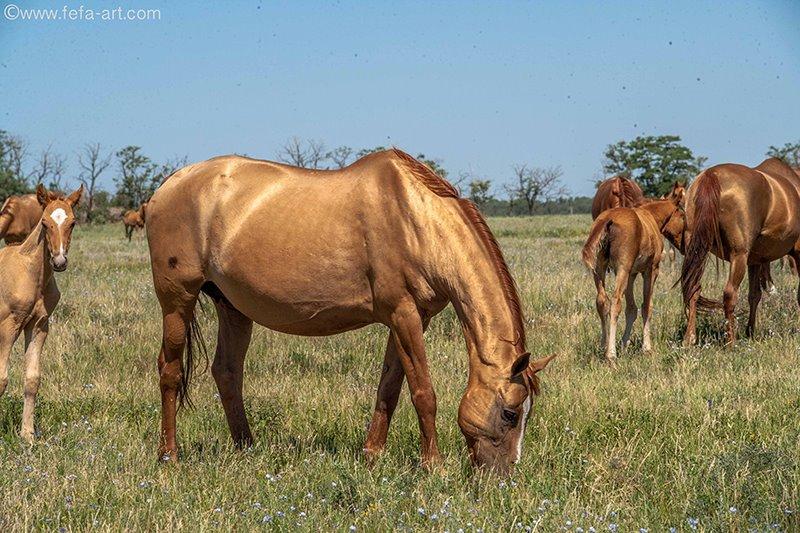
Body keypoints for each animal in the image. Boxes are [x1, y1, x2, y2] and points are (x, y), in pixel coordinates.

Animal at [0, 184, 82, 441]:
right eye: (44, 223)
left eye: (73, 222)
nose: (59, 261)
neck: (30, 274)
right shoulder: (8, 326)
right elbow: (2, 379)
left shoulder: (38, 325)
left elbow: (32, 380)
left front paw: (27, 434)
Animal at [145, 149, 554, 473]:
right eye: (510, 413)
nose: (502, 477)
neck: (416, 222)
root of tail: (165, 188)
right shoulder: (404, 315)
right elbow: (423, 392)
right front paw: (433, 466)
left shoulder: (411, 318)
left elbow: (390, 387)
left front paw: (372, 455)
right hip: (177, 301)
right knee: (170, 371)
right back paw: (170, 455)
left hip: (232, 307)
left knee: (227, 372)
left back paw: (246, 448)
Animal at [582, 194, 685, 363]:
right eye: (682, 215)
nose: (683, 245)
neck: (651, 218)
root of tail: (608, 220)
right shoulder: (651, 271)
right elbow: (646, 306)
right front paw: (646, 348)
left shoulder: (631, 274)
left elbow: (631, 309)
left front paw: (625, 344)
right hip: (621, 270)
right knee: (615, 302)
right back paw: (611, 354)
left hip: (599, 270)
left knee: (602, 301)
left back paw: (604, 346)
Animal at [681, 158, 800, 346]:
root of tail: (712, 175)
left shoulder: (755, 261)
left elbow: (754, 295)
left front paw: (750, 331)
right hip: (739, 255)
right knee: (730, 294)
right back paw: (731, 343)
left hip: (697, 249)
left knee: (693, 288)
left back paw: (689, 339)